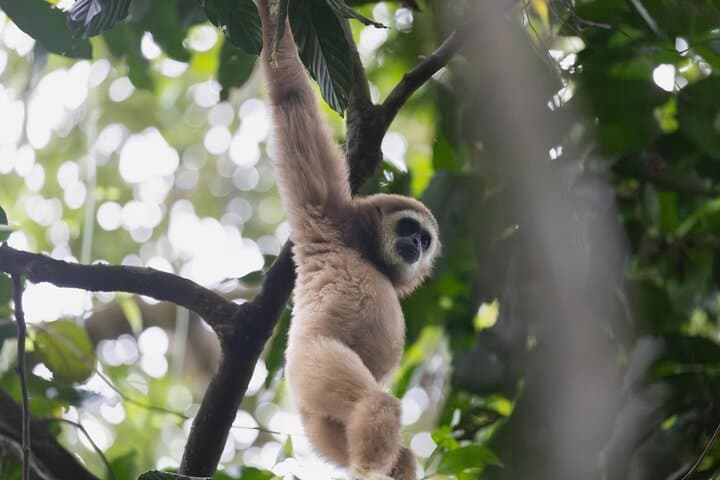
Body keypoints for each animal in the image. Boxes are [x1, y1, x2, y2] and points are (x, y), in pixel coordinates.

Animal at [254, 1, 441, 479]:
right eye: (408, 230)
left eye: (425, 240)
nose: (416, 246)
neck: (365, 250)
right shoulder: (326, 214)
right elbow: (290, 96)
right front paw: (272, 15)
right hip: (314, 366)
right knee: (376, 402)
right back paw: (367, 470)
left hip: (325, 426)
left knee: (393, 446)